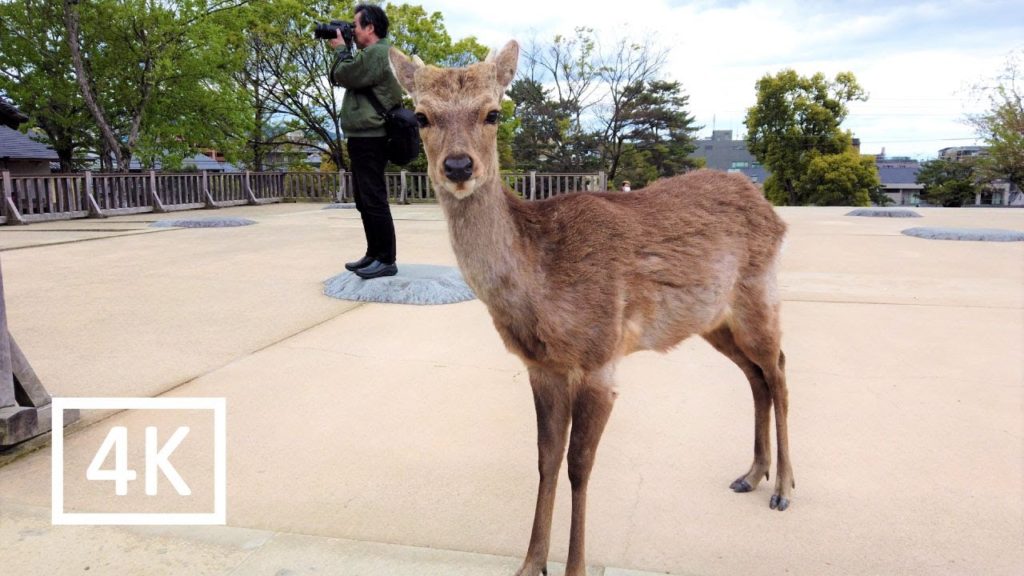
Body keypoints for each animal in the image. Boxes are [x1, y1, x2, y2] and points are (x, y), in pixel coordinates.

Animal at [389, 40, 794, 576]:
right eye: (420, 115)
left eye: (493, 112)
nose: (458, 166)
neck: (542, 280)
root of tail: (772, 211)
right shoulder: (541, 365)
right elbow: (546, 458)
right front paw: (531, 564)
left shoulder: (600, 357)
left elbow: (579, 466)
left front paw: (573, 567)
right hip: (713, 321)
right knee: (756, 376)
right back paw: (751, 474)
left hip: (759, 294)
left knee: (780, 370)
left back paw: (784, 489)